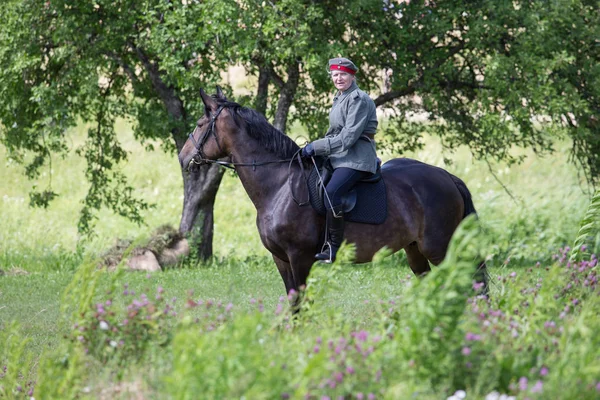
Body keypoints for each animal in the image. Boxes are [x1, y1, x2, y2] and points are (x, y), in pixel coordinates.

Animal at [179, 87, 488, 304]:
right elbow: (293, 301)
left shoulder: (300, 257)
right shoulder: (281, 259)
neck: (279, 186)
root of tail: (447, 177)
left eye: (199, 124)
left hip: (440, 248)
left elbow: (301, 303)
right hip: (415, 250)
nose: (182, 158)